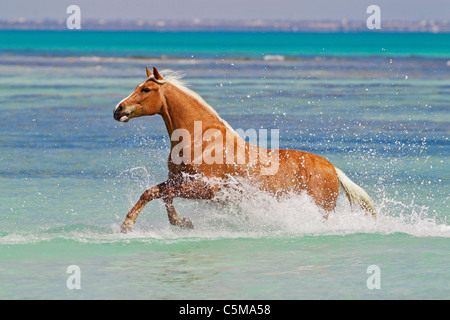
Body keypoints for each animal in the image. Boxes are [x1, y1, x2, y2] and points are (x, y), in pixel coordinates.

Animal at [113, 67, 376, 232]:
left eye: (146, 90)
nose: (118, 109)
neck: (200, 140)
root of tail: (333, 169)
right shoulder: (179, 179)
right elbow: (152, 192)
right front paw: (129, 225)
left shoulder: (207, 188)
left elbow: (165, 194)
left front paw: (180, 222)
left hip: (321, 209)